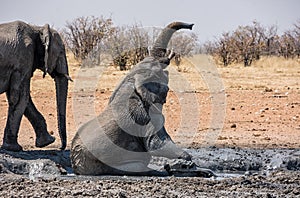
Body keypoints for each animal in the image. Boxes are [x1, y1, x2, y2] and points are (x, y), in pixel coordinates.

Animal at [0, 20, 71, 151]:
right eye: (61, 52)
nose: (61, 147)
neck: (37, 29)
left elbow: (24, 99)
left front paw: (47, 142)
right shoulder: (24, 59)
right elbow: (20, 99)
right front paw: (14, 148)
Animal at [71, 22, 196, 176]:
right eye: (158, 70)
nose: (191, 25)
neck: (133, 79)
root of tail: (76, 168)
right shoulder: (146, 118)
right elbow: (157, 145)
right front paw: (188, 160)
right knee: (141, 168)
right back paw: (167, 169)